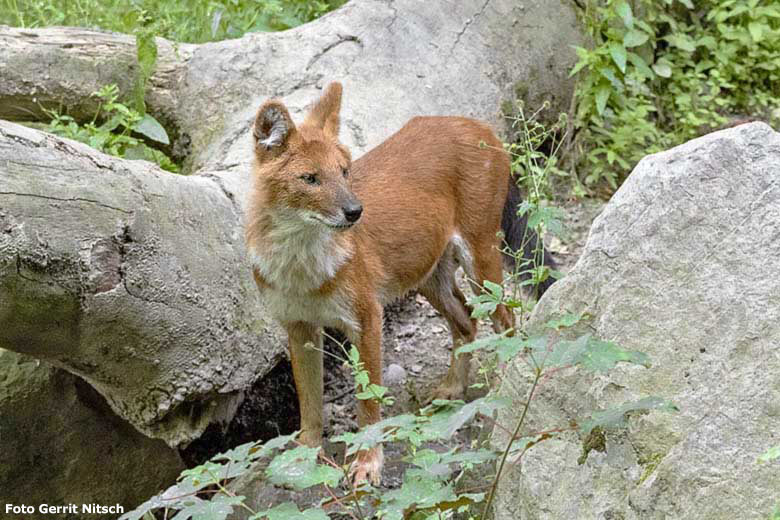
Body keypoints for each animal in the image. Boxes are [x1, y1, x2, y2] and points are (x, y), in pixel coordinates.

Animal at [245, 81, 548, 484]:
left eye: (344, 172)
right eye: (310, 178)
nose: (355, 211)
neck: (300, 263)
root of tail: (477, 124)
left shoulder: (367, 318)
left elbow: (368, 401)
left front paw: (367, 463)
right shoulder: (299, 326)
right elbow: (308, 402)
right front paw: (304, 457)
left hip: (480, 258)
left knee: (506, 323)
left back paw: (502, 389)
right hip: (427, 274)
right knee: (467, 320)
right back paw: (452, 389)